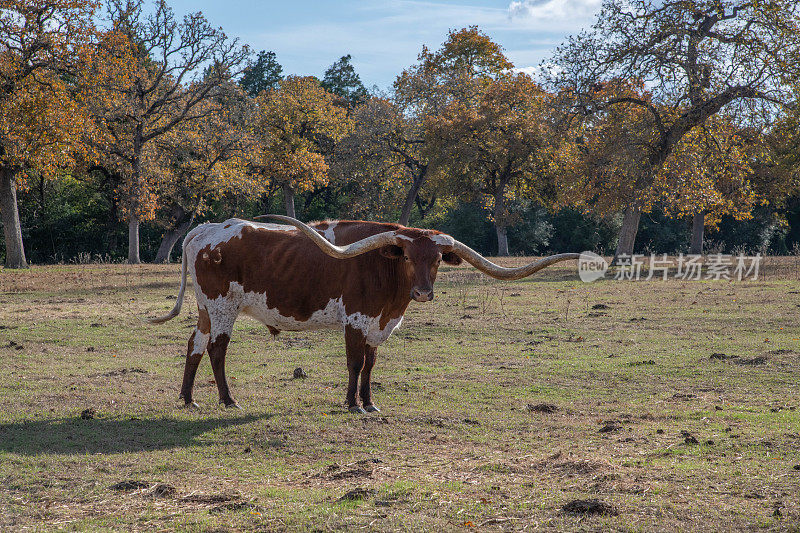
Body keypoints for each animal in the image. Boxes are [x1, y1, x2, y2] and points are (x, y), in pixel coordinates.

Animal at [148, 215, 576, 412]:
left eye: (438, 259)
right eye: (407, 257)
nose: (423, 293)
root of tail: (205, 229)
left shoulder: (379, 325)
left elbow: (370, 365)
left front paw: (370, 402)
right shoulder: (355, 321)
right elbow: (354, 363)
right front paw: (352, 404)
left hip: (206, 307)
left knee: (195, 344)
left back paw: (188, 398)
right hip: (223, 305)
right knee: (216, 350)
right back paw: (227, 400)